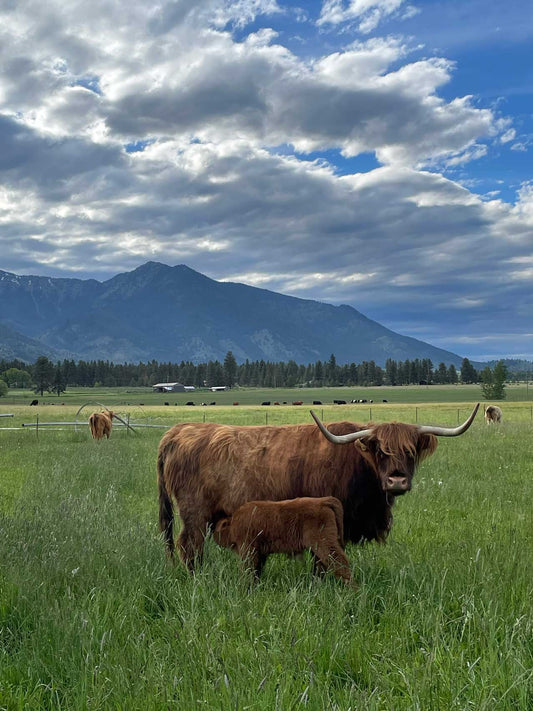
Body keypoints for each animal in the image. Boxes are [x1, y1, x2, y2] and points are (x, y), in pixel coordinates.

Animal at [156, 404, 476, 572]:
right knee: (190, 546)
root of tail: (179, 431)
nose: (396, 481)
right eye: (380, 450)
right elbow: (324, 559)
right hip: (194, 513)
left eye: (410, 451)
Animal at [214, 496, 352, 584]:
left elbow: (248, 569)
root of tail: (324, 501)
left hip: (324, 544)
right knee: (323, 565)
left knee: (340, 562)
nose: (214, 535)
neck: (233, 523)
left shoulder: (248, 549)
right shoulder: (260, 552)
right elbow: (257, 570)